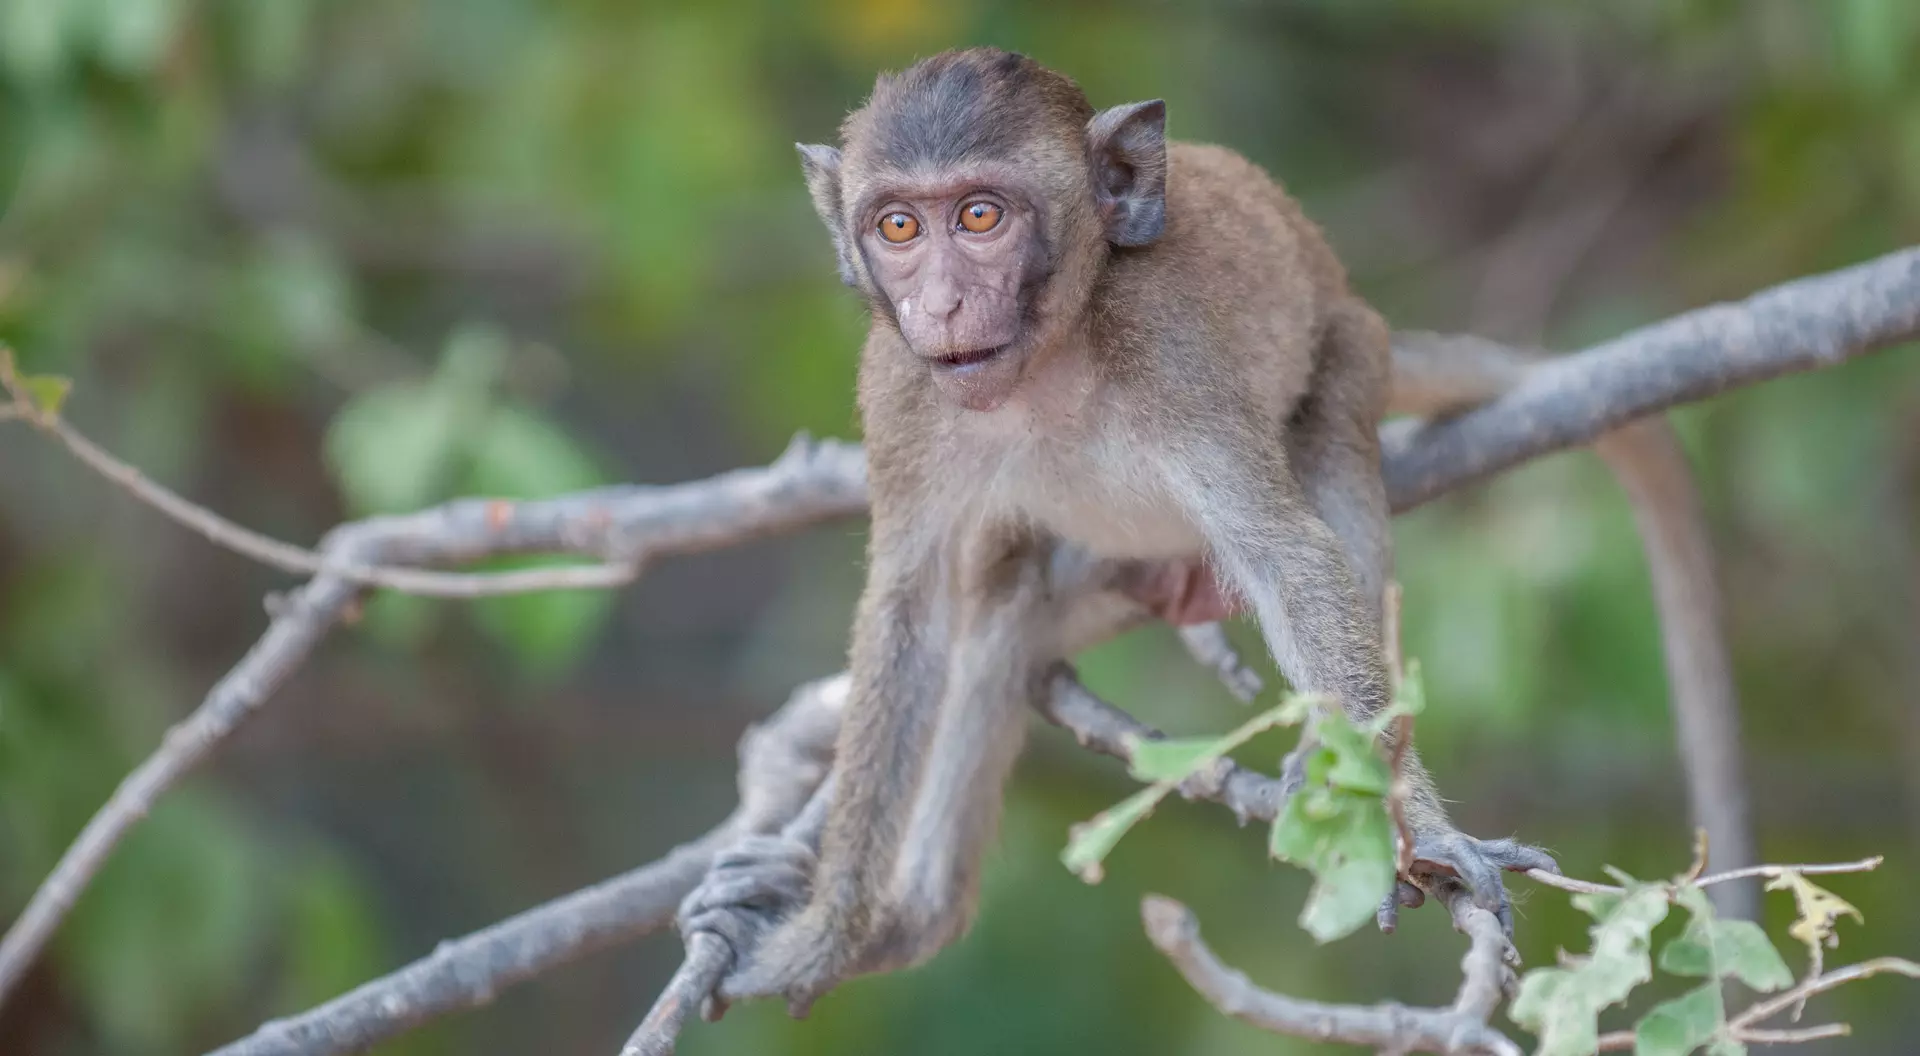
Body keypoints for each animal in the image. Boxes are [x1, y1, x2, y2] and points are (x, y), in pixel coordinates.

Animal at [678, 48, 1556, 1014]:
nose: (940, 305)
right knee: (996, 597)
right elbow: (912, 616)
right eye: (899, 226)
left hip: (1356, 341)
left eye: (979, 216)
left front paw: (1416, 828)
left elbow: (1289, 559)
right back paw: (914, 921)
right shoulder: (899, 390)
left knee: (1328, 437)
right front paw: (829, 936)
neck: (1046, 367)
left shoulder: (1171, 354)